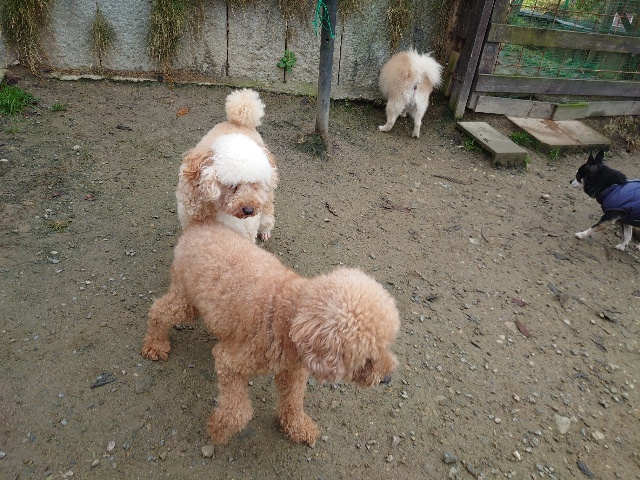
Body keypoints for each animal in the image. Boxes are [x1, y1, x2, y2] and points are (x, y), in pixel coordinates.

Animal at [142, 221, 400, 446]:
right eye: (366, 358)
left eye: (387, 345)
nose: (387, 378)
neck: (290, 317)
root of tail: (199, 223)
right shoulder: (230, 362)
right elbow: (238, 411)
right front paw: (218, 430)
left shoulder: (292, 372)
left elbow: (293, 402)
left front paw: (298, 428)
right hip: (186, 299)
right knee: (159, 310)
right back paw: (155, 344)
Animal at [176, 89, 278, 242]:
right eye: (231, 186)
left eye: (254, 184)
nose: (249, 210)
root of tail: (240, 122)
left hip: (267, 196)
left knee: (267, 215)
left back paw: (265, 231)